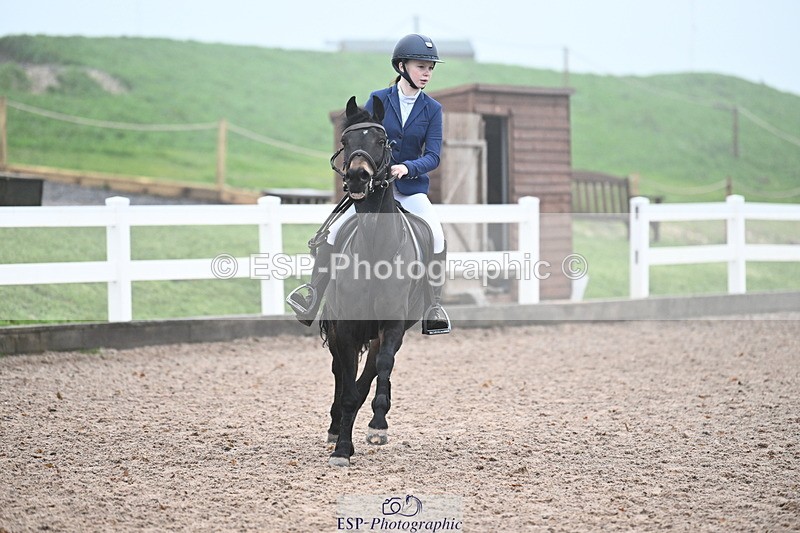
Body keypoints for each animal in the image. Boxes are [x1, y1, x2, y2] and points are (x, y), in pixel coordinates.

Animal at [321, 95, 433, 467]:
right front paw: (342, 447)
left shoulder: (392, 325)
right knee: (340, 373)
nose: (358, 176)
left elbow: (378, 370)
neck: (373, 253)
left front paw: (375, 425)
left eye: (383, 141)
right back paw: (335, 427)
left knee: (372, 370)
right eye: (345, 141)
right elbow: (346, 383)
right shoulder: (344, 329)